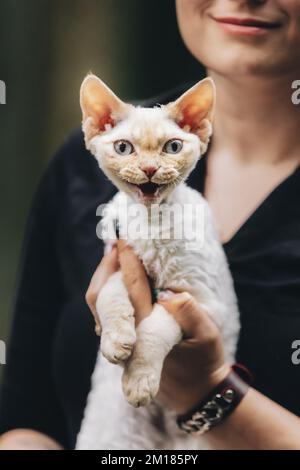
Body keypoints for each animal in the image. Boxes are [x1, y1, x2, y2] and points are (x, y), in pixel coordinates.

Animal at [76, 72, 240, 448]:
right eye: (124, 148)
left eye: (173, 147)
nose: (149, 168)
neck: (152, 225)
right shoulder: (117, 261)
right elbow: (110, 293)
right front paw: (116, 340)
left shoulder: (202, 303)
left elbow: (156, 327)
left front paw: (138, 379)